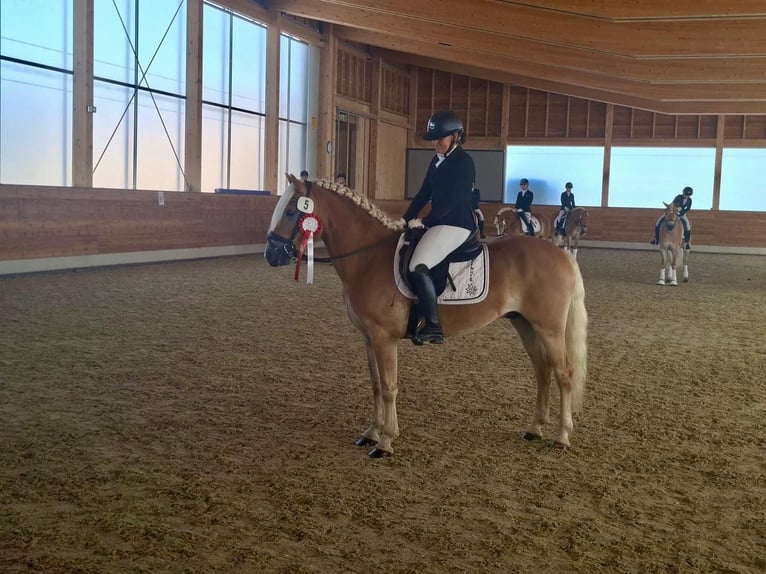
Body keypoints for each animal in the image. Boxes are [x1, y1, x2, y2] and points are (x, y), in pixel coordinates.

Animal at [265, 174, 588, 457]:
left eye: (292, 211)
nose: (271, 254)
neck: (368, 257)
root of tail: (563, 256)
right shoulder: (368, 338)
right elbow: (376, 385)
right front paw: (371, 432)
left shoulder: (384, 339)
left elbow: (389, 387)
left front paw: (385, 442)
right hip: (526, 325)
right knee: (542, 372)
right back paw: (534, 429)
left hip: (550, 329)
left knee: (564, 375)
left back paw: (561, 437)